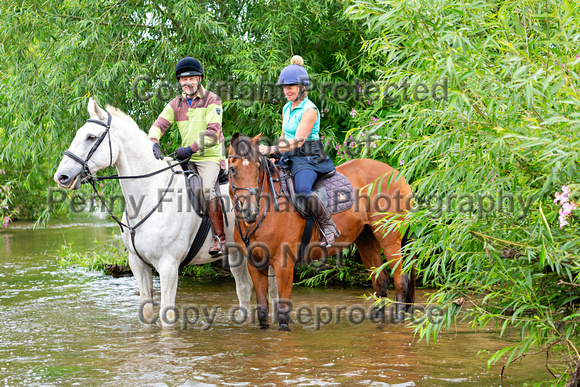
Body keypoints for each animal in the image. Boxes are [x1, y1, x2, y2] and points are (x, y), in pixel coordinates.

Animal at [52, 98, 276, 328]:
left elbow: (166, 318)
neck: (149, 193)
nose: (61, 177)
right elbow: (147, 312)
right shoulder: (138, 264)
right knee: (243, 288)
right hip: (235, 253)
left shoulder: (168, 266)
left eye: (91, 137)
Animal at [229, 133, 414, 330]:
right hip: (366, 238)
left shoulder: (283, 263)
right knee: (381, 279)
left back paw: (399, 318)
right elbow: (263, 310)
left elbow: (283, 312)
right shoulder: (255, 263)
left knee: (400, 278)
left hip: (389, 238)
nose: (250, 212)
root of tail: (396, 174)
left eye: (257, 168)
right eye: (232, 169)